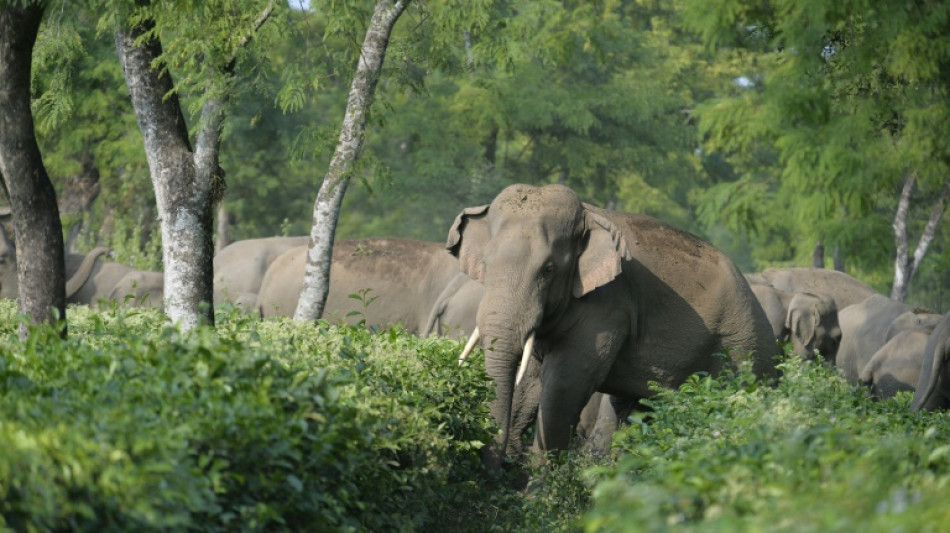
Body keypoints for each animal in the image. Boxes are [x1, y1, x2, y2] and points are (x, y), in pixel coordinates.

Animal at [450, 182, 784, 458]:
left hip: (742, 349)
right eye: (486, 263)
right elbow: (528, 384)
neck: (588, 215)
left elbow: (564, 387)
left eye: (548, 269)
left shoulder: (608, 304)